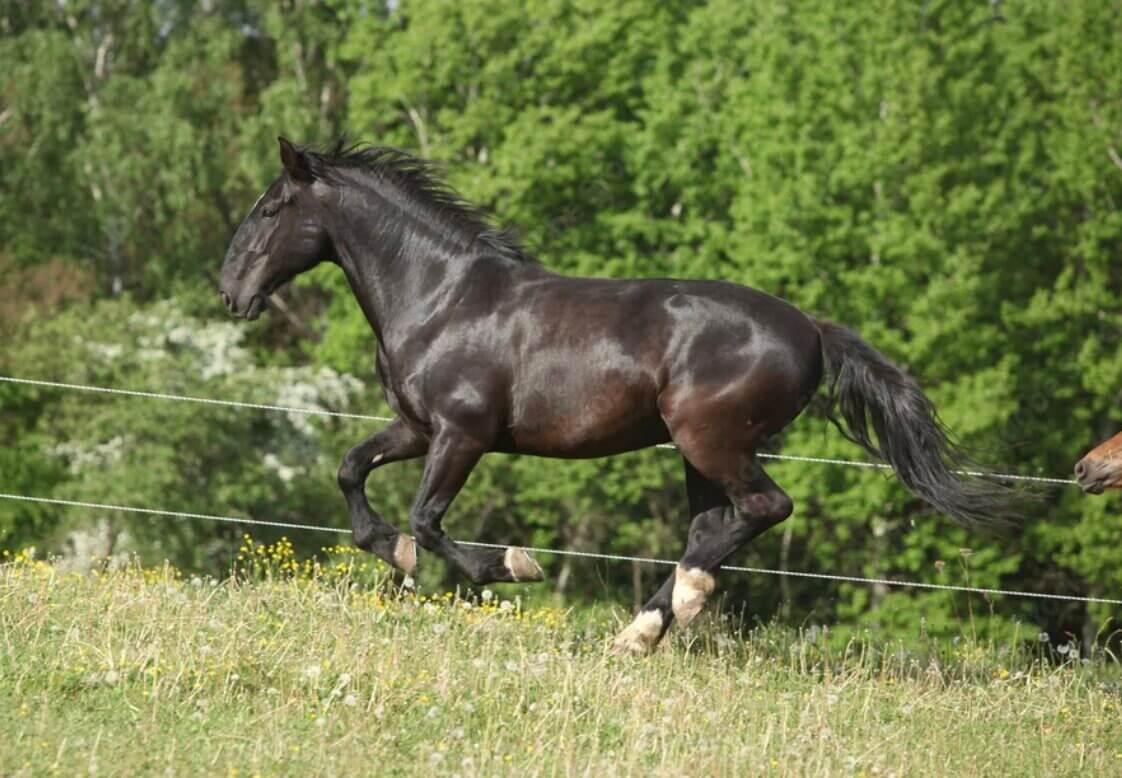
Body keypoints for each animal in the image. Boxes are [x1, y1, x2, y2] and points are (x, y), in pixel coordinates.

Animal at [218, 138, 1014, 654]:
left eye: (270, 208)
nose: (229, 291)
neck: (442, 299)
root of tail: (812, 331)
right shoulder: (415, 426)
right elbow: (352, 472)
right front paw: (396, 553)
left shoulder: (461, 433)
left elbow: (431, 518)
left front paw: (511, 566)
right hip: (701, 450)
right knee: (712, 528)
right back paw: (645, 631)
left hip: (709, 438)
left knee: (762, 510)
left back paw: (666, 612)